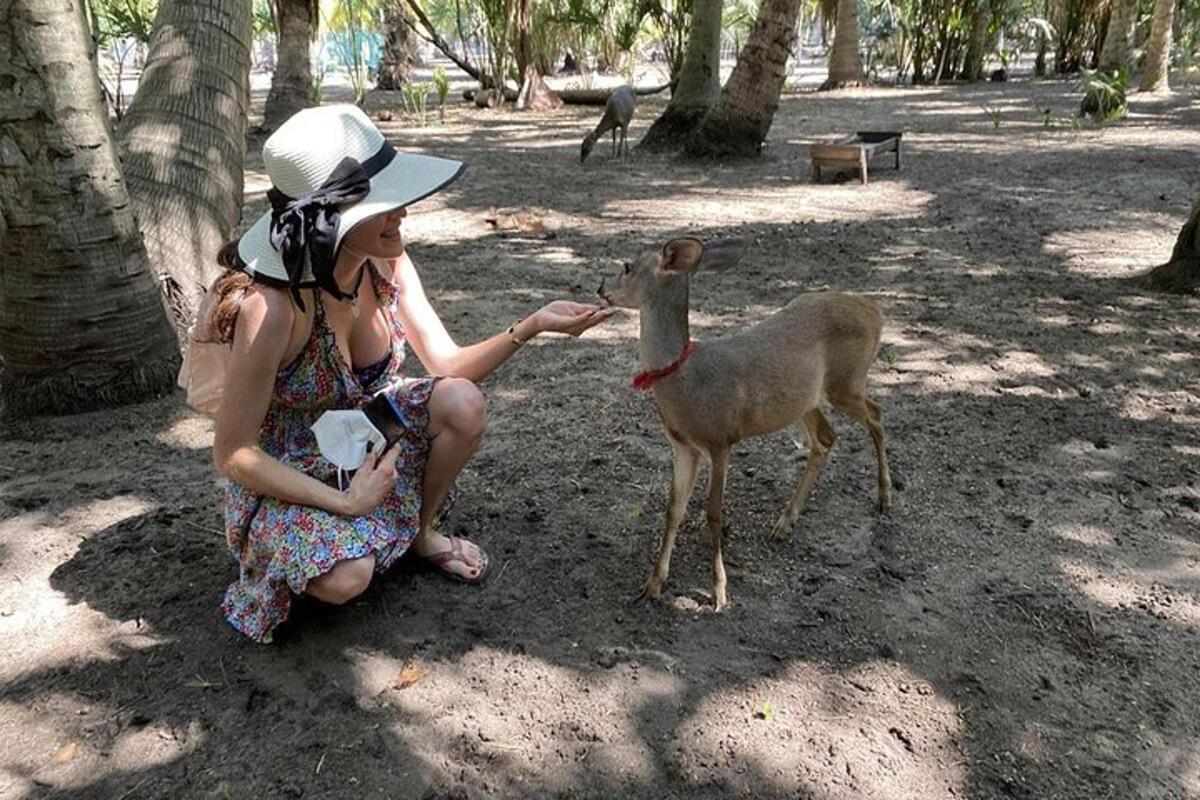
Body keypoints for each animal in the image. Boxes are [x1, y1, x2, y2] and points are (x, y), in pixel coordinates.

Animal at [600, 237, 892, 614]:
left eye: (626, 266)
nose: (600, 289)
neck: (686, 384)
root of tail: (875, 311)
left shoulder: (720, 439)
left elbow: (712, 513)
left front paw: (719, 593)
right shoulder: (683, 444)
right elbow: (673, 509)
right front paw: (652, 584)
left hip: (847, 381)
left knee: (876, 414)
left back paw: (884, 496)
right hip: (805, 400)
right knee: (826, 437)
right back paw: (785, 521)